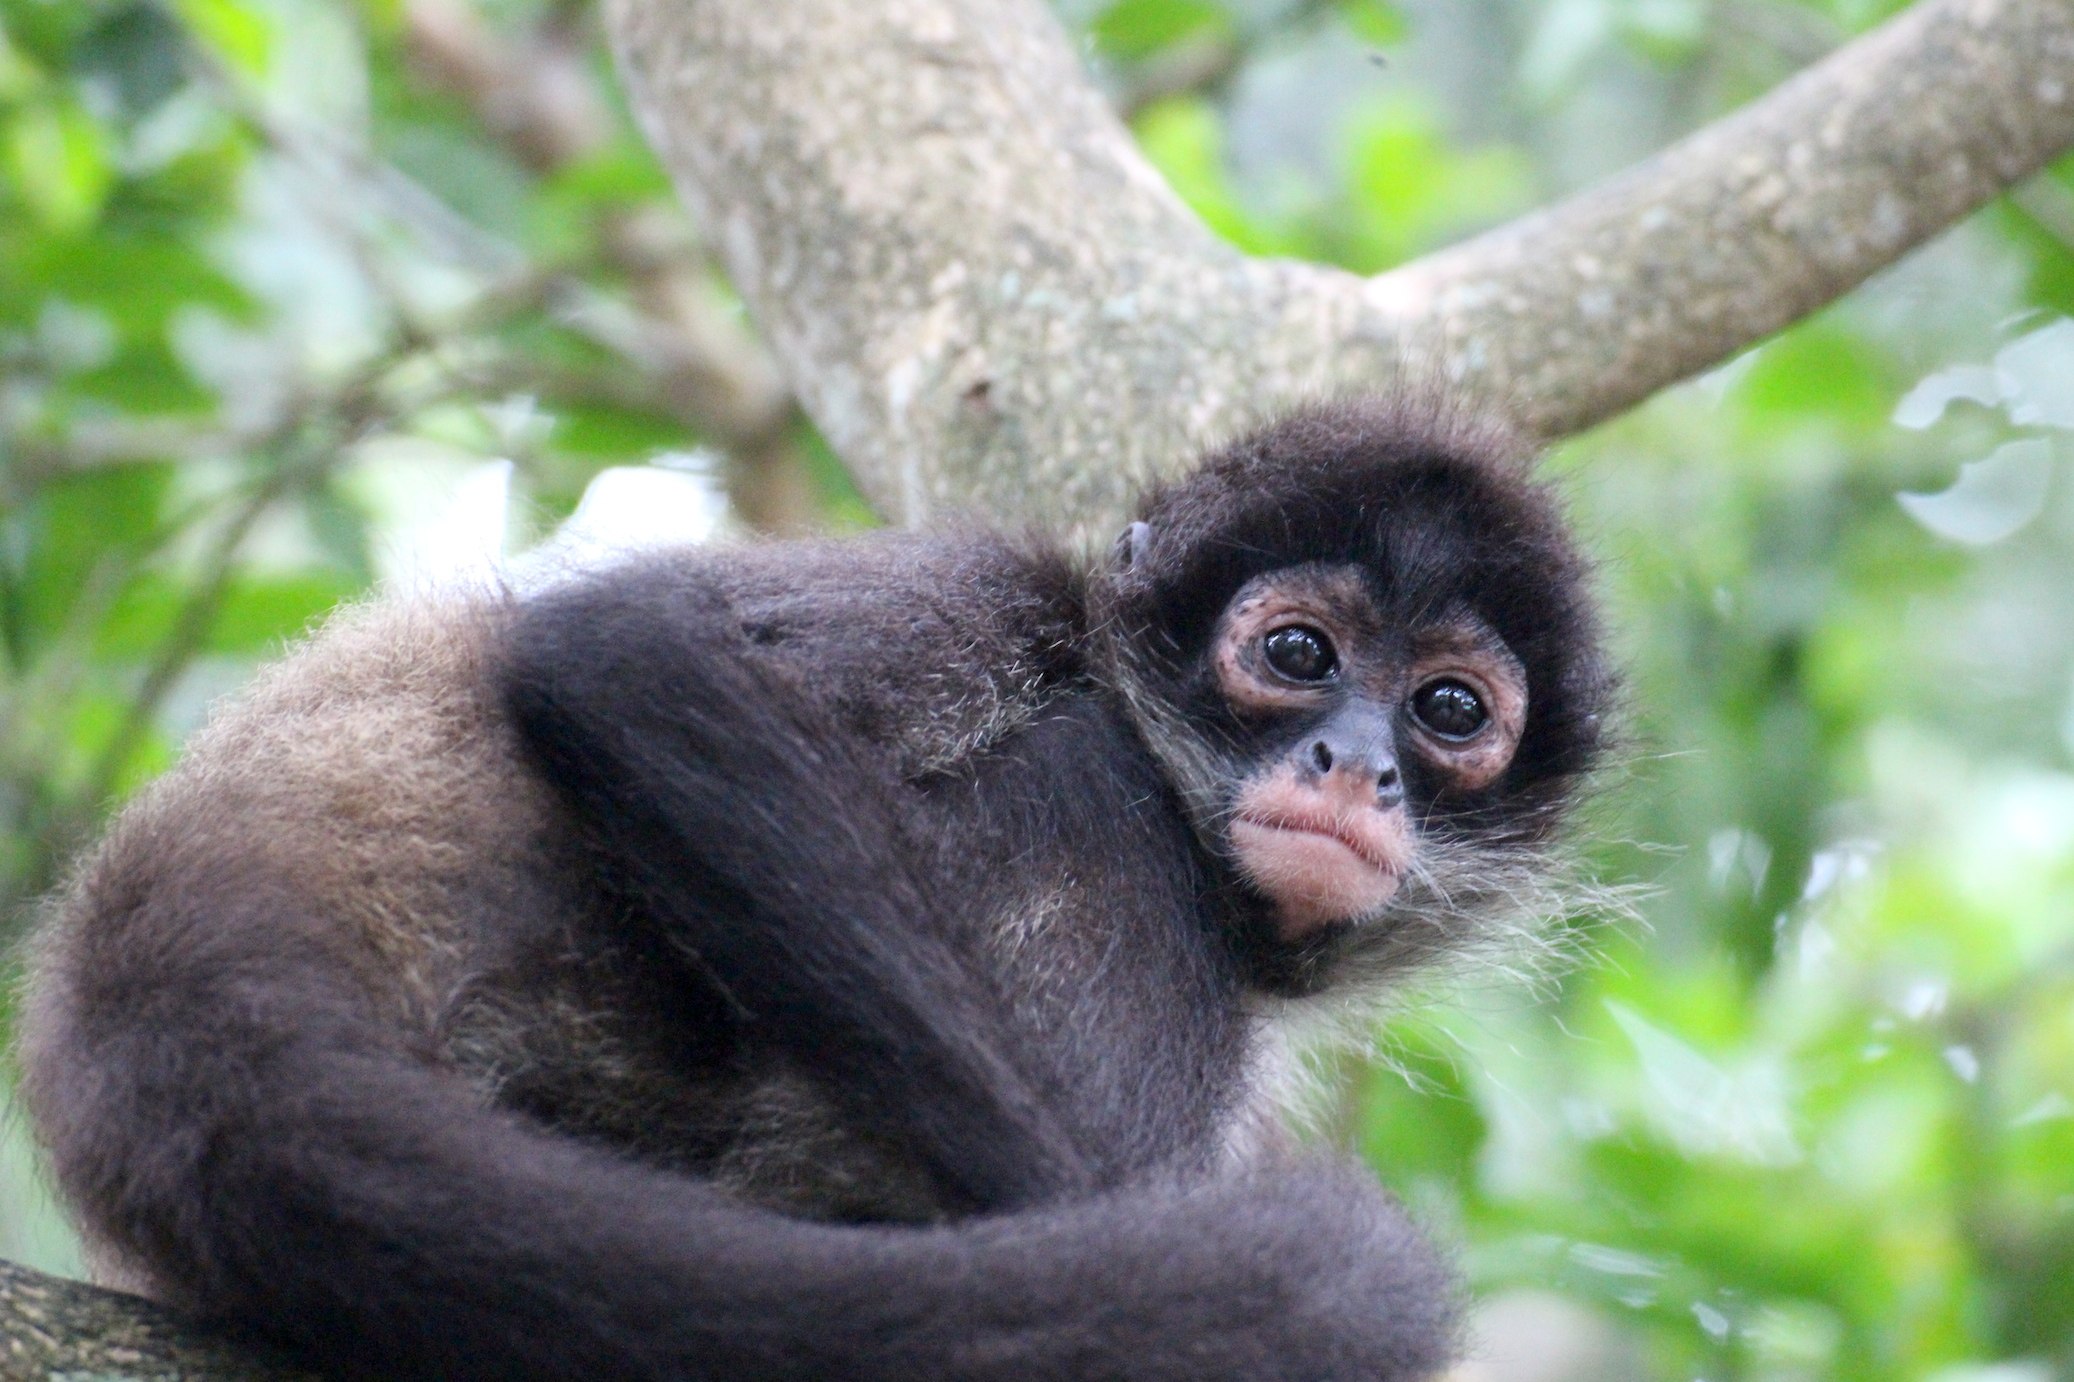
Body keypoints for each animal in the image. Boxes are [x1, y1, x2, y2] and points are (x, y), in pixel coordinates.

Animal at [16, 396, 1609, 1377]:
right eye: (1293, 654)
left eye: (1448, 711)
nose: (1354, 764)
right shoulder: (996, 590)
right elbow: (624, 654)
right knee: (1085, 769)